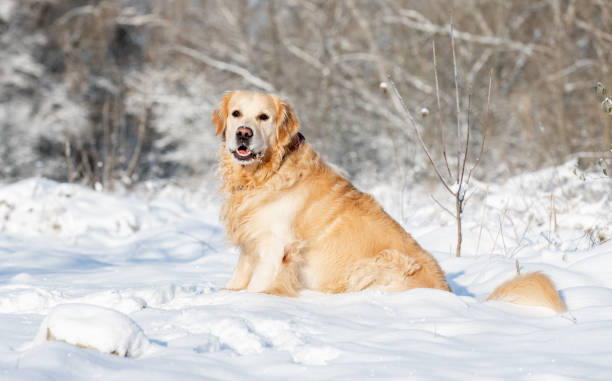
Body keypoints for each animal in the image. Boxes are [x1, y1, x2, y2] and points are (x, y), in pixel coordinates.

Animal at [213, 90, 568, 312]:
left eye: (263, 117)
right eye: (236, 114)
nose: (243, 133)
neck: (267, 173)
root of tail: (451, 296)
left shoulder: (276, 246)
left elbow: (258, 287)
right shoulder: (251, 246)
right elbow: (235, 281)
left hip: (380, 263)